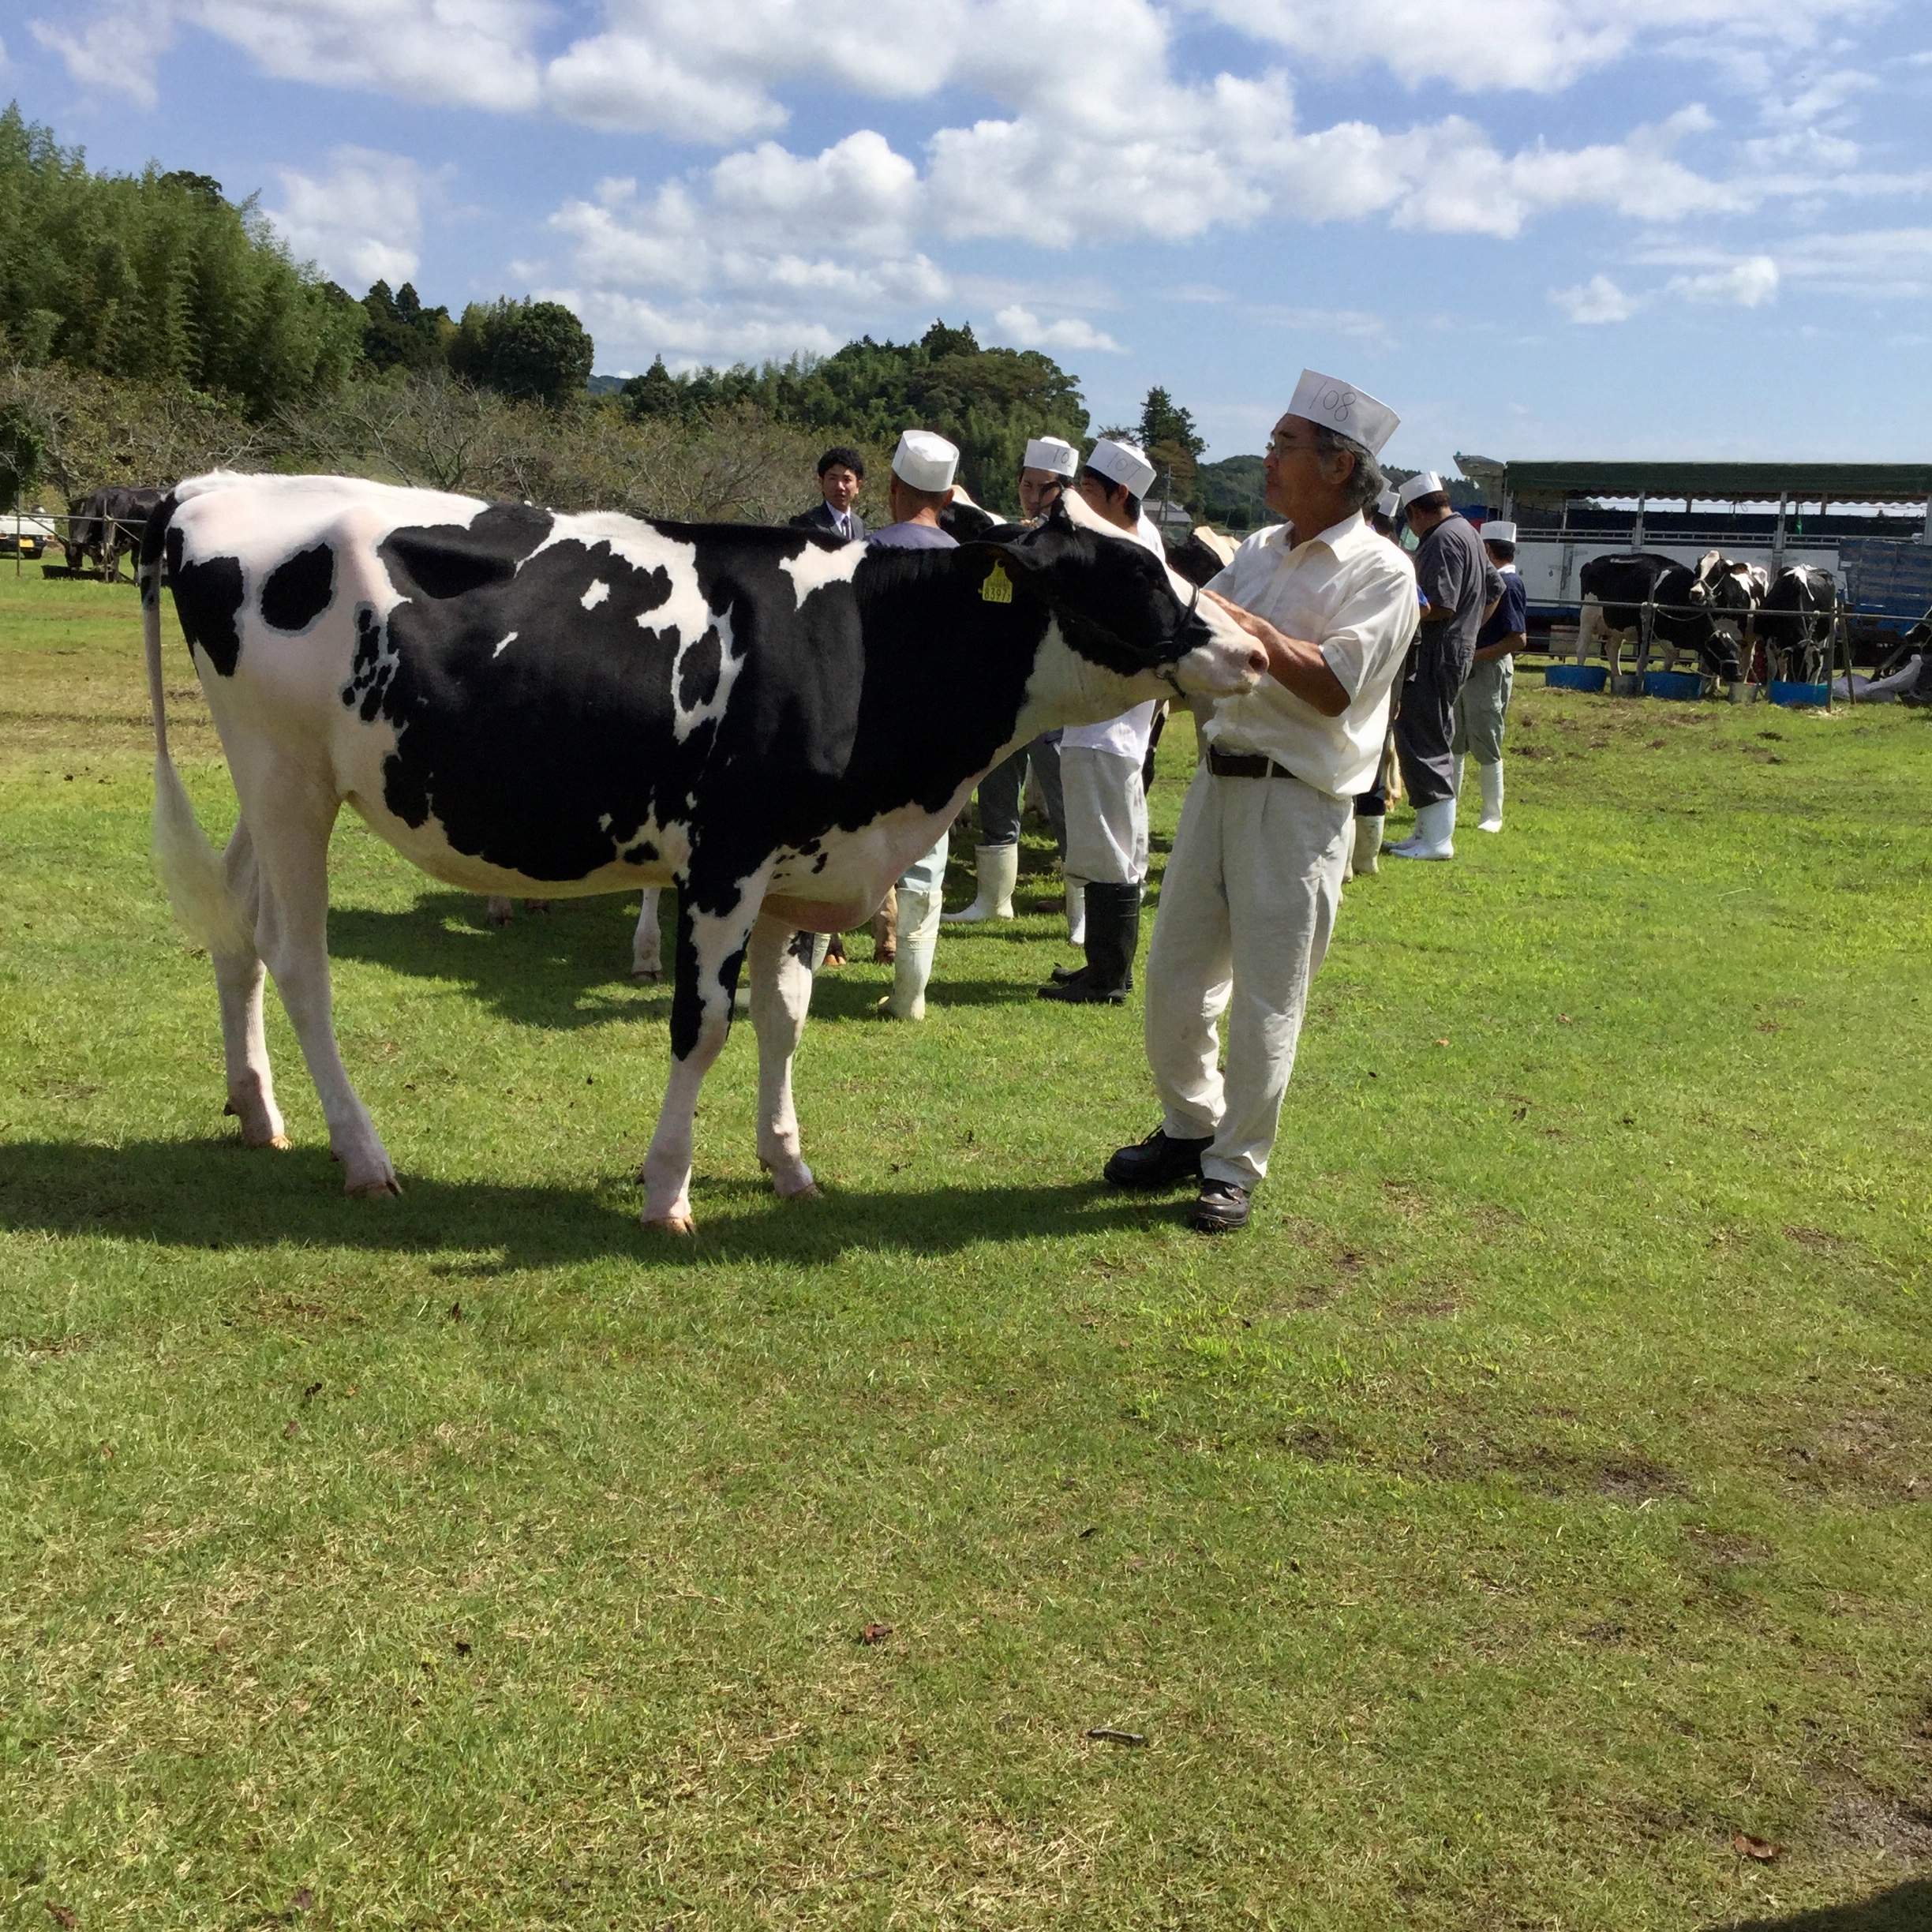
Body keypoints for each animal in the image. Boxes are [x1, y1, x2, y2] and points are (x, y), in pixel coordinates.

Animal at [147, 471, 1267, 1221]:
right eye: (1131, 571)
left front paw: (788, 1163)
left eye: (1165, 553)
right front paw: (667, 1190)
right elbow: (707, 1025)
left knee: (238, 929)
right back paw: (363, 1153)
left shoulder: (801, 864)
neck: (864, 645)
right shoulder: (726, 860)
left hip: (283, 785)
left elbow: (784, 1019)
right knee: (297, 958)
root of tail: (216, 485)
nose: (1255, 653)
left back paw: (257, 1109)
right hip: (285, 774)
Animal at [1568, 549, 1754, 683]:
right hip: (1588, 615)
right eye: (1721, 650)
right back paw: (1580, 670)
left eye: (1736, 651)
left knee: (1612, 650)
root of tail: (1592, 562)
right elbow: (1643, 659)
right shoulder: (1644, 625)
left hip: (1618, 626)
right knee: (1582, 646)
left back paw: (1617, 676)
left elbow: (1669, 660)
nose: (1738, 675)